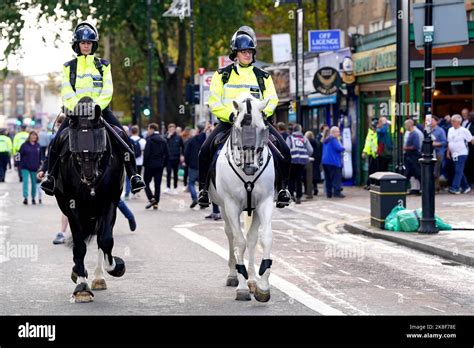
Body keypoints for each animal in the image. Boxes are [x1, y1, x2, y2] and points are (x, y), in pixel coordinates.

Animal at [53, 97, 127, 302]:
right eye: (74, 138)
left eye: (99, 136)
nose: (89, 175)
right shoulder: (73, 207)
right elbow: (79, 246)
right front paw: (81, 286)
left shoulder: (109, 203)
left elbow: (106, 240)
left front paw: (116, 266)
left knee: (100, 240)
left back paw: (99, 277)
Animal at [210, 94, 274, 302]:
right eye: (238, 128)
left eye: (262, 128)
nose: (250, 167)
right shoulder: (231, 205)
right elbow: (239, 242)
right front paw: (242, 287)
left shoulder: (264, 203)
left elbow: (265, 238)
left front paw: (262, 286)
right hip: (223, 208)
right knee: (231, 235)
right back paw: (233, 275)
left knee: (252, 238)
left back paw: (253, 279)